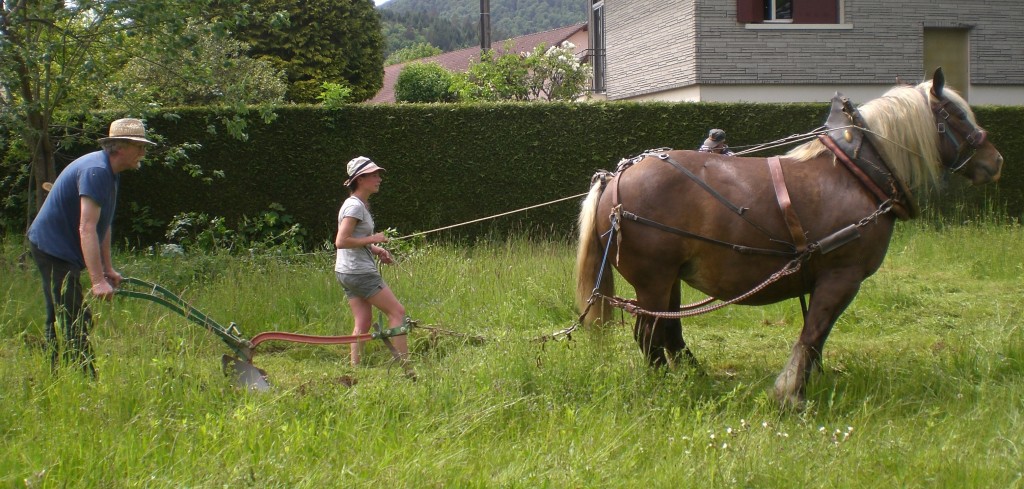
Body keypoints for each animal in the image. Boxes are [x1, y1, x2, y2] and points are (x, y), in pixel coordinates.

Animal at [581, 68, 1003, 409]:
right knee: (650, 334)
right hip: (653, 278)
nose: (995, 160)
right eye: (956, 115)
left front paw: (805, 385)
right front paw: (791, 395)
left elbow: (817, 336)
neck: (854, 174)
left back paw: (697, 379)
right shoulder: (842, 276)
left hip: (669, 279)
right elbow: (813, 333)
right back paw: (666, 388)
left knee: (670, 331)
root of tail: (616, 178)